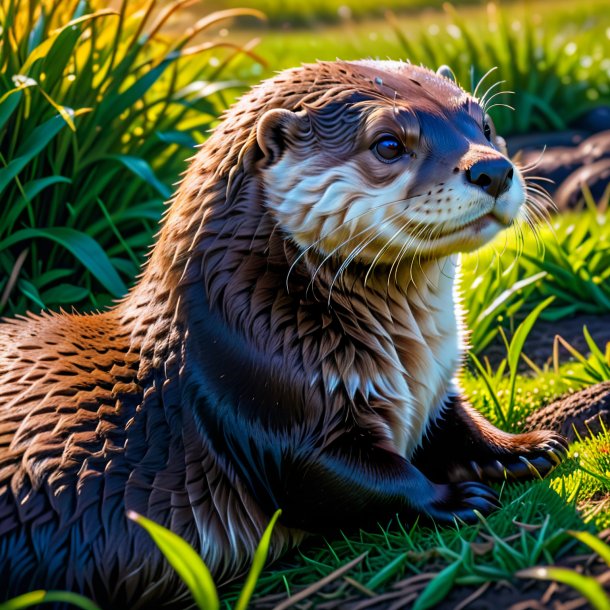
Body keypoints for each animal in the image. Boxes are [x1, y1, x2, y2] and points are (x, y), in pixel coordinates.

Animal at [0, 60, 564, 604]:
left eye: (485, 126)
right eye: (388, 143)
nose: (493, 169)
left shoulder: (435, 383)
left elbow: (456, 420)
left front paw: (521, 447)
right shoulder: (259, 391)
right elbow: (342, 476)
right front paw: (451, 497)